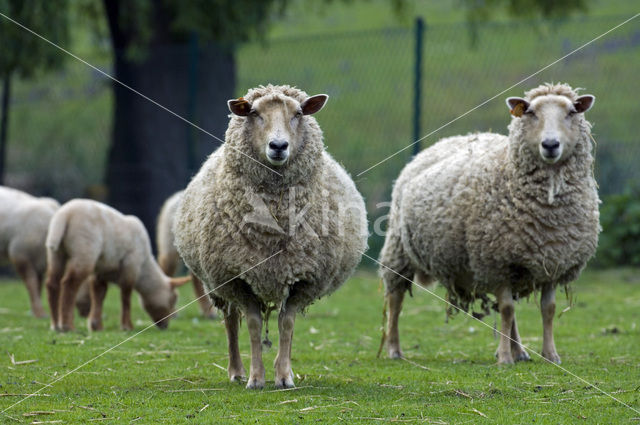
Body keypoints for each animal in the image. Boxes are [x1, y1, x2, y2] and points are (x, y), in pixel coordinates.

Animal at [0, 186, 60, 318]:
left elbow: (39, 285)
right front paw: (40, 313)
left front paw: (35, 311)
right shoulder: (21, 255)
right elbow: (31, 283)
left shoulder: (39, 262)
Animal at [45, 199, 190, 332]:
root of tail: (64, 215)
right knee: (69, 284)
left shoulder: (101, 273)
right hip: (85, 251)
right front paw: (127, 326)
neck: (144, 267)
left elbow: (99, 295)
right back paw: (67, 325)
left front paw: (96, 325)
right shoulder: (131, 264)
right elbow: (126, 296)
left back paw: (55, 325)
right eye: (173, 299)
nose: (165, 326)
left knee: (52, 283)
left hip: (56, 253)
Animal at [175, 84, 368, 390]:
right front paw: (256, 378)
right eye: (254, 113)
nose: (278, 146)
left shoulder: (304, 278)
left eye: (298, 113)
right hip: (218, 283)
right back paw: (236, 371)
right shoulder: (237, 277)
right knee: (230, 322)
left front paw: (284, 376)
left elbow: (286, 324)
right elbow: (253, 325)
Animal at [378, 83, 596, 364]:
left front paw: (550, 355)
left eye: (571, 112)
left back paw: (520, 351)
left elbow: (547, 309)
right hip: (399, 248)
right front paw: (503, 358)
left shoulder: (552, 261)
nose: (550, 144)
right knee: (396, 299)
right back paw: (394, 349)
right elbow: (506, 309)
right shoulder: (496, 261)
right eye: (531, 112)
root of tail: (440, 143)